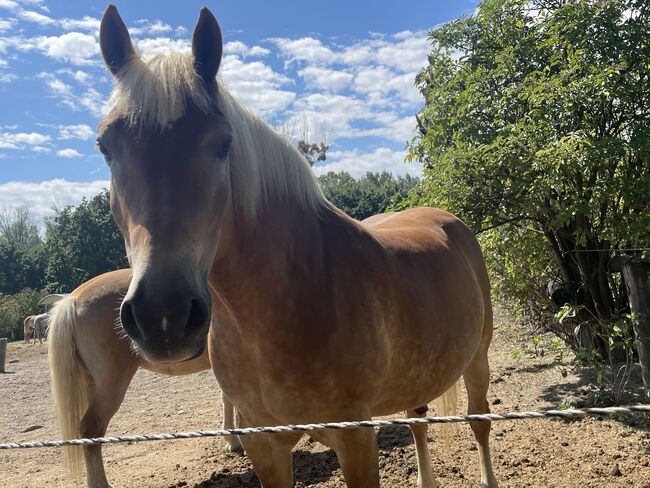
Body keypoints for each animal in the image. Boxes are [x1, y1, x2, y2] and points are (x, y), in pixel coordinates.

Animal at [46, 266, 242, 488]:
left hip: (92, 384)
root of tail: (73, 299)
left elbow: (228, 399)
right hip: (111, 385)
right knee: (91, 428)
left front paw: (233, 442)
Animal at [96, 5, 498, 486]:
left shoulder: (356, 439)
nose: (163, 316)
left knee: (479, 422)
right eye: (105, 148)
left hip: (478, 357)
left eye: (223, 144)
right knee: (418, 421)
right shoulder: (263, 445)